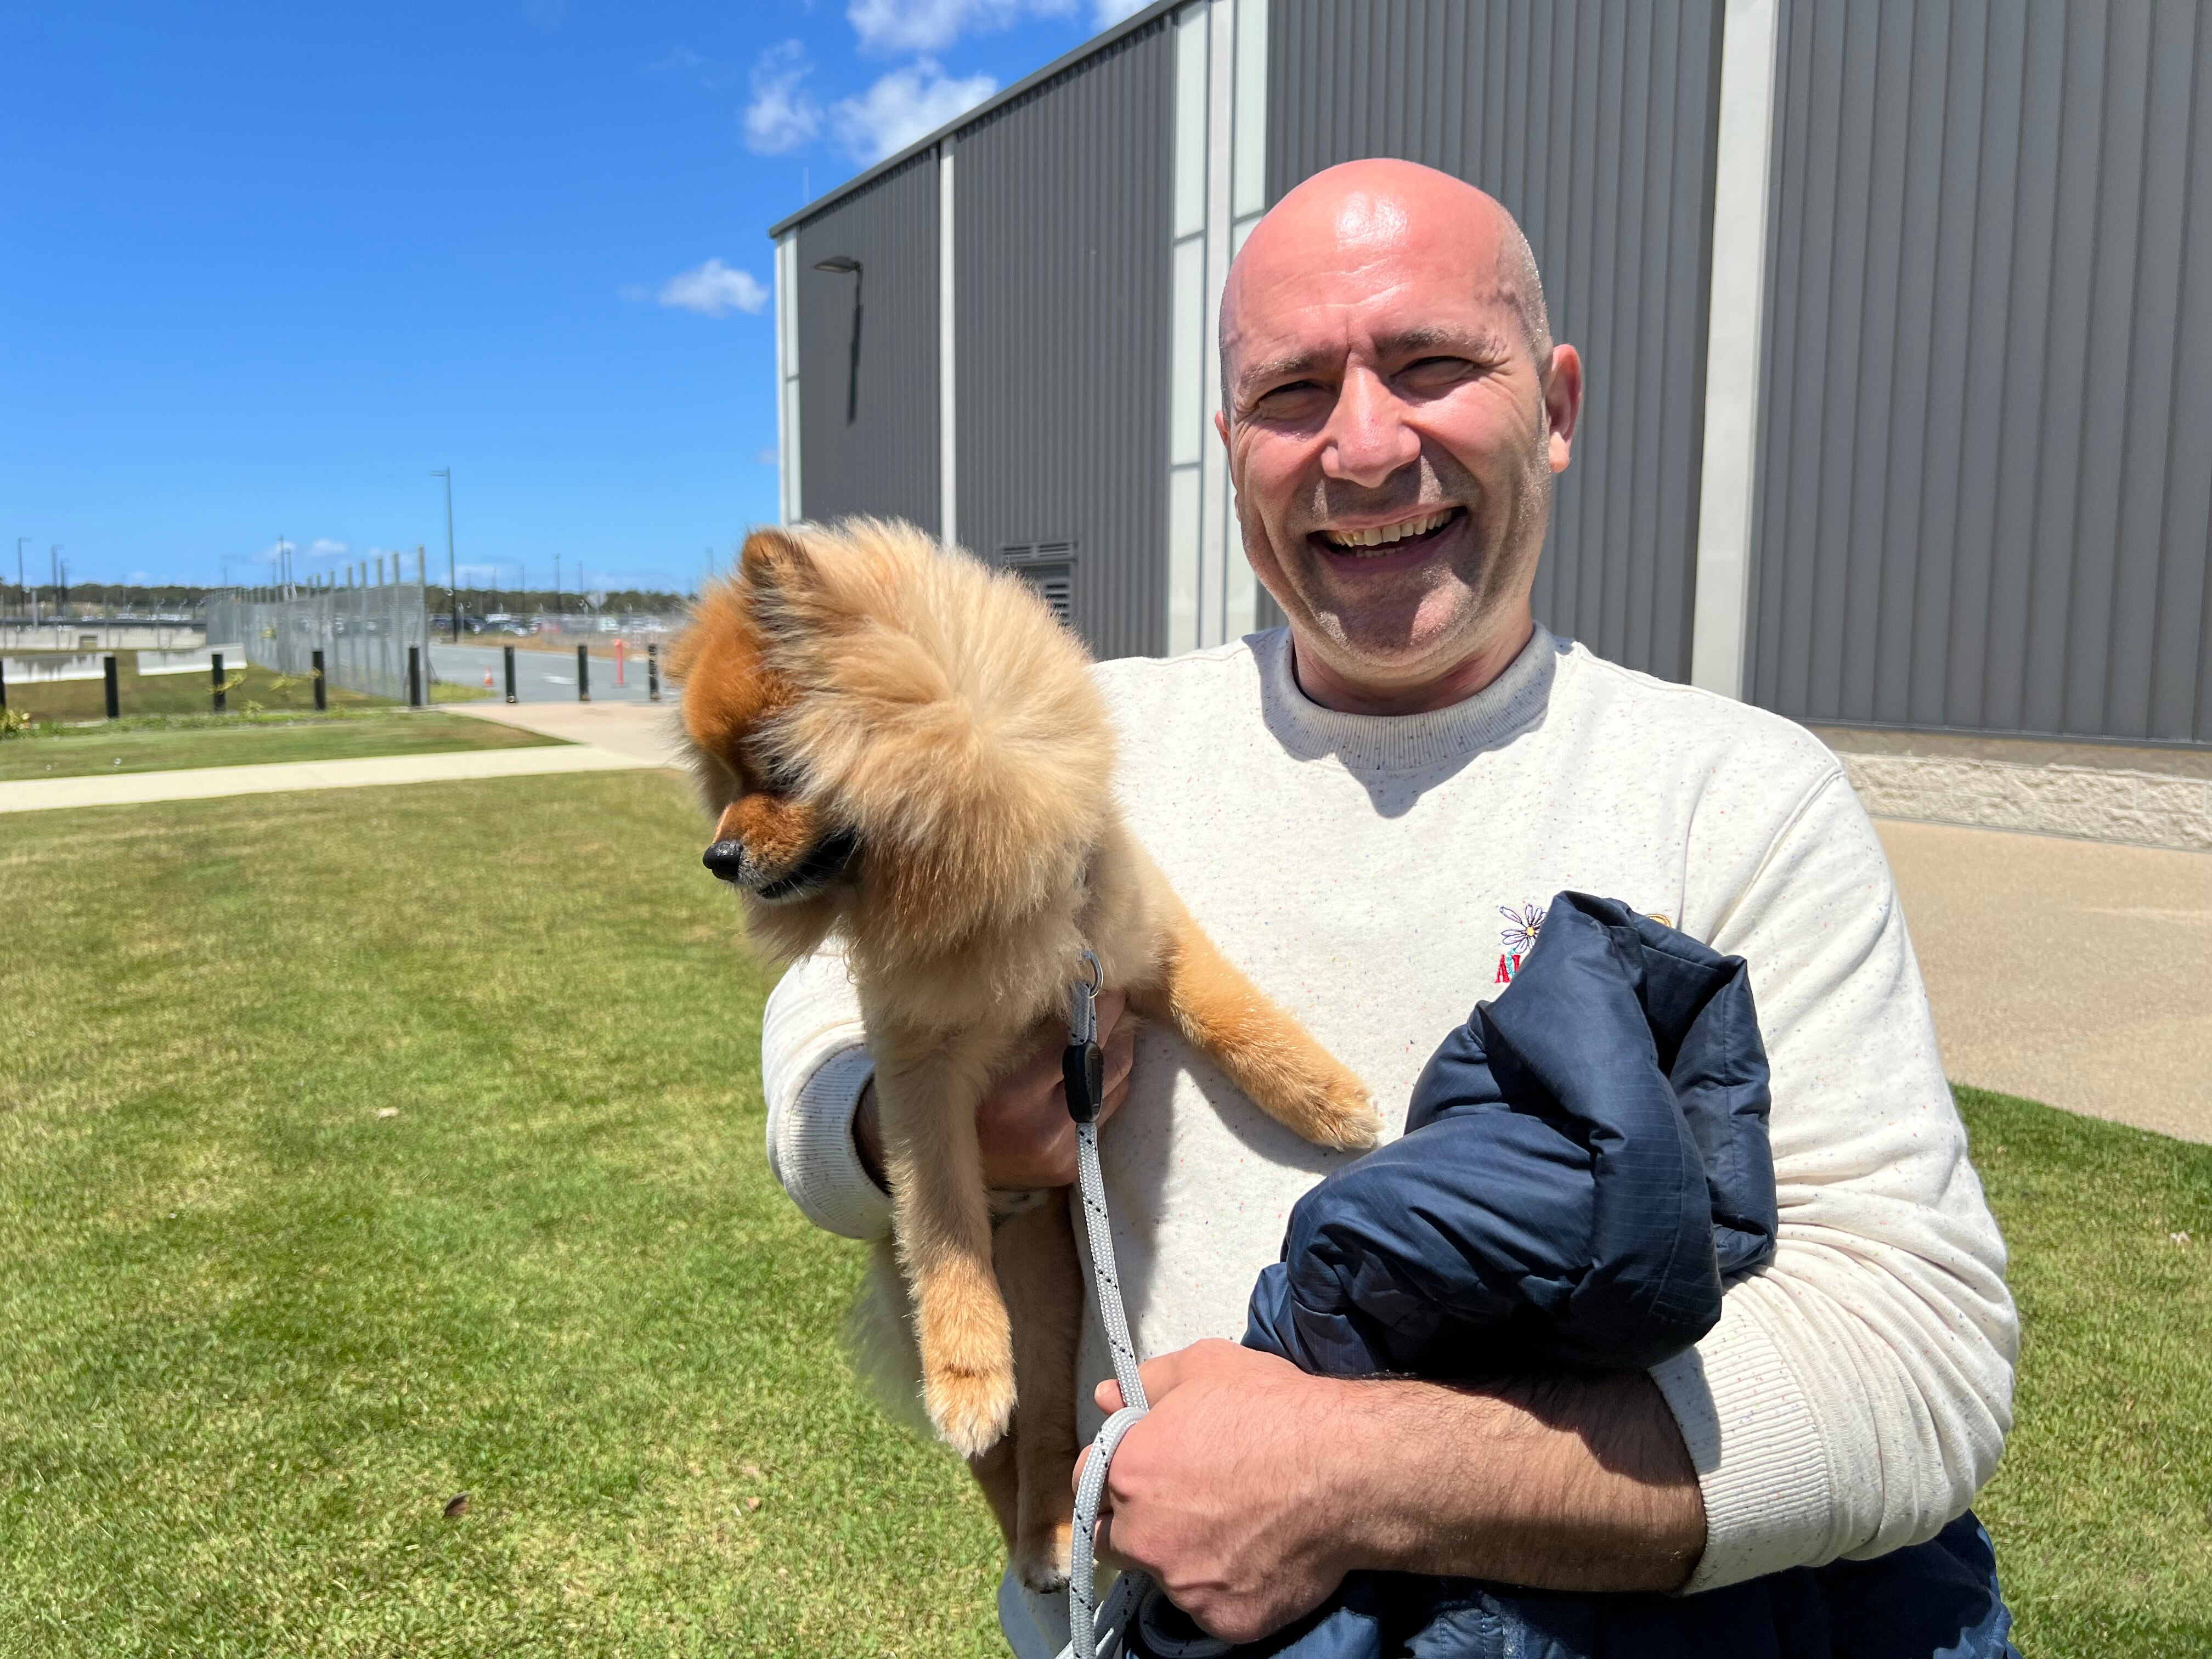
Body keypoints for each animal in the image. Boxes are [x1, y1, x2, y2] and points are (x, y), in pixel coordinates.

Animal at [672, 517, 1378, 1588]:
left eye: (776, 770)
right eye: (724, 778)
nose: (715, 857)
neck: (999, 901)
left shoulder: (1141, 946)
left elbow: (1230, 1013)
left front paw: (1324, 1094)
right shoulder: (921, 1074)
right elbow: (944, 1218)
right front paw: (967, 1367)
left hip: (1053, 1310)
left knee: (1046, 1431)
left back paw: (1052, 1530)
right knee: (993, 1448)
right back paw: (1015, 1507)